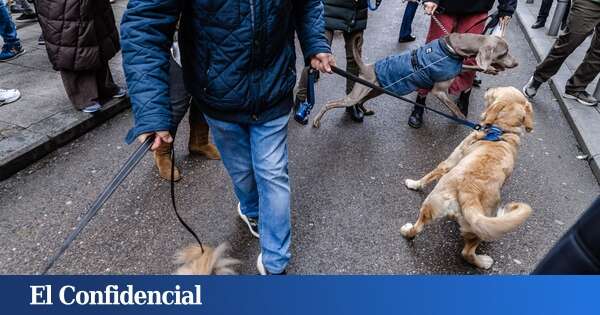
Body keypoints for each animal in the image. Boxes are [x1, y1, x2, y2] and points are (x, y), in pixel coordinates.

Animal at [312, 33, 516, 128]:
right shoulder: (439, 91)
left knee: (361, 101)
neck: (452, 48)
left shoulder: (456, 69)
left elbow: (472, 67)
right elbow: (455, 109)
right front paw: (465, 121)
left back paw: (365, 110)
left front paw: (490, 69)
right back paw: (316, 121)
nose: (516, 63)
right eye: (504, 52)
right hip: (358, 93)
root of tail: (367, 67)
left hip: (374, 90)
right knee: (331, 103)